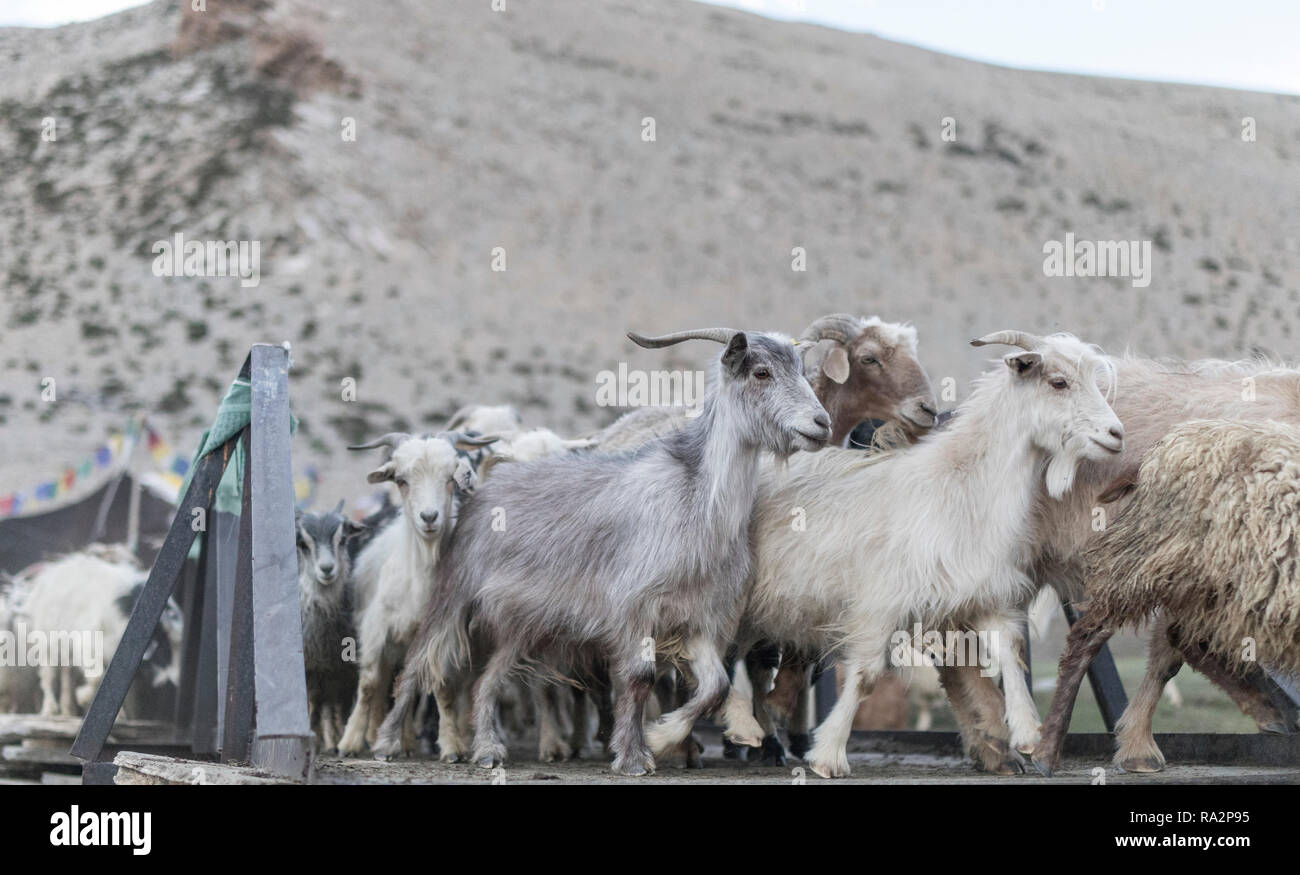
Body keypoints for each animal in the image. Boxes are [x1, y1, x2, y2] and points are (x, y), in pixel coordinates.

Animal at [379, 326, 832, 769]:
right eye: (761, 372)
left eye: (801, 370)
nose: (822, 423)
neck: (699, 504)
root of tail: (486, 486)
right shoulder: (634, 610)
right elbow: (640, 679)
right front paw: (634, 755)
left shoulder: (700, 620)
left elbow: (715, 688)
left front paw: (661, 737)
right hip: (455, 595)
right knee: (417, 664)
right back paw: (388, 743)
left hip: (523, 624)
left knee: (487, 680)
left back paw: (489, 750)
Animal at [728, 331, 1123, 774]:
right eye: (1058, 382)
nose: (1116, 434)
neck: (960, 487)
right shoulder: (880, 602)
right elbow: (865, 676)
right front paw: (828, 754)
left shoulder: (980, 592)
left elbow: (1010, 652)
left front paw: (1026, 732)